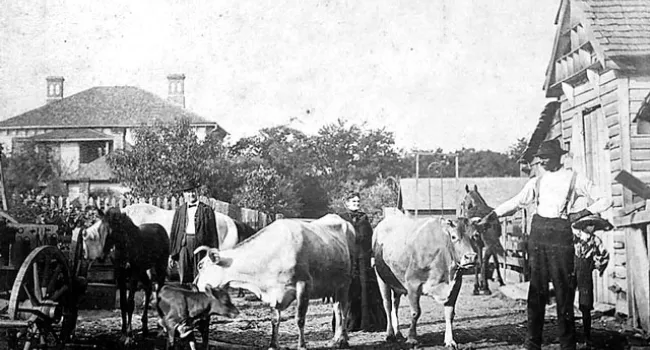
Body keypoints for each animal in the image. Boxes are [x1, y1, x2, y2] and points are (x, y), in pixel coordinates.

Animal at [83, 206, 170, 346]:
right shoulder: (121, 275)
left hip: (160, 266)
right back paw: (145, 328)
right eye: (100, 231)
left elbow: (130, 303)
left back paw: (161, 329)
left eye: (111, 232)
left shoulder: (133, 274)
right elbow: (123, 304)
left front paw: (129, 336)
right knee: (148, 288)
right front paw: (123, 333)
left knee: (158, 291)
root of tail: (161, 229)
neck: (125, 248)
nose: (101, 258)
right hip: (144, 271)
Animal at [192, 213, 354, 350]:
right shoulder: (273, 291)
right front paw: (273, 345)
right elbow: (275, 319)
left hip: (346, 282)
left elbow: (300, 318)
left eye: (200, 265)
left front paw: (301, 346)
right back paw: (335, 339)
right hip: (334, 285)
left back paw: (342, 340)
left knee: (344, 309)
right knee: (337, 308)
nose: (194, 285)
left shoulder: (304, 284)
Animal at [370, 215, 476, 348]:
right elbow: (416, 312)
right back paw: (390, 334)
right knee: (387, 305)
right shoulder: (413, 284)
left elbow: (450, 314)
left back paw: (398, 333)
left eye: (475, 235)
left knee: (395, 305)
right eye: (453, 237)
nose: (470, 257)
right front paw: (412, 338)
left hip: (397, 283)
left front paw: (450, 340)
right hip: (382, 278)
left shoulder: (455, 286)